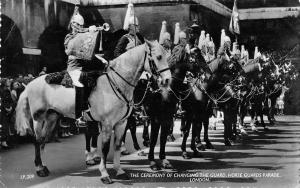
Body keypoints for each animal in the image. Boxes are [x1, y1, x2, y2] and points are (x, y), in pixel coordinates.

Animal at [15, 40, 171, 184]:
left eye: (167, 56)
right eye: (158, 57)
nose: (167, 80)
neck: (117, 82)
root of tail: (30, 83)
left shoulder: (121, 123)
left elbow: (117, 146)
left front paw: (119, 170)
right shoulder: (107, 124)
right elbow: (105, 148)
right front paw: (104, 174)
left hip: (51, 118)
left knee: (43, 140)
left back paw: (43, 166)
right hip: (38, 118)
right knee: (37, 141)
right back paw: (39, 169)